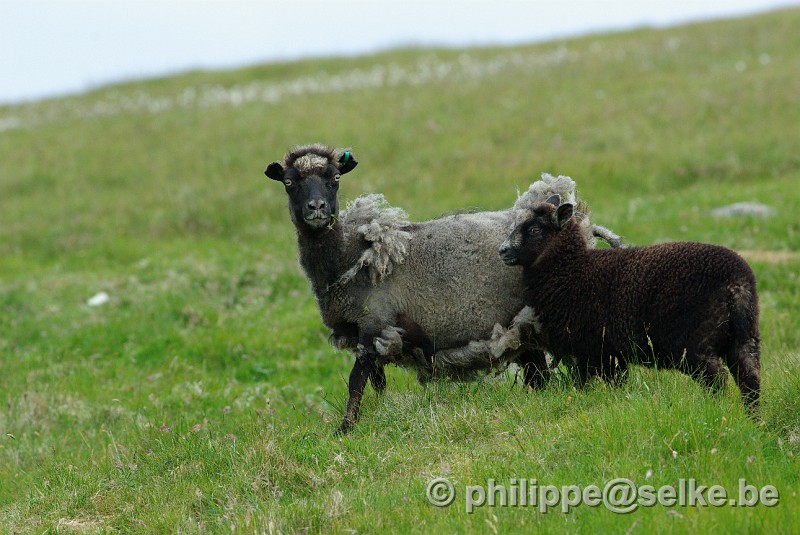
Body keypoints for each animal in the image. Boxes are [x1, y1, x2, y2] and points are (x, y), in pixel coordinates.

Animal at [266, 144, 620, 434]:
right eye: (289, 183)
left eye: (335, 178)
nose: (316, 208)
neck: (350, 254)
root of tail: (582, 223)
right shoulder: (364, 333)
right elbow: (376, 384)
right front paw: (371, 415)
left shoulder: (374, 324)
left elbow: (356, 382)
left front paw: (344, 429)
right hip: (521, 326)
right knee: (538, 376)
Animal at [500, 195, 764, 412]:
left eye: (534, 229)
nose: (503, 250)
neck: (571, 270)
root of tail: (737, 282)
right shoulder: (611, 351)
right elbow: (616, 382)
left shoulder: (589, 346)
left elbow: (584, 382)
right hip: (744, 337)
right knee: (750, 379)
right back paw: (753, 419)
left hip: (695, 342)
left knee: (717, 380)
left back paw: (716, 412)